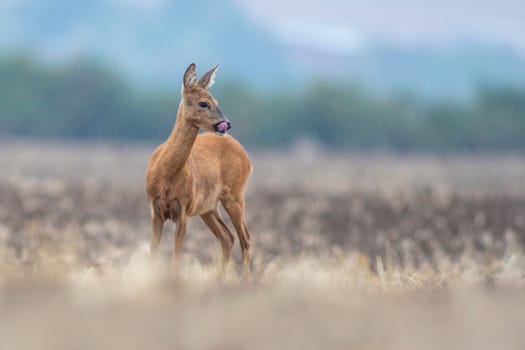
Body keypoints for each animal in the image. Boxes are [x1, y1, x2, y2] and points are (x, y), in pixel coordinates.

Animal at [145, 62, 252, 276]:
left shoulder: (184, 209)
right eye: (203, 103)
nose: (226, 124)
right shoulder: (155, 208)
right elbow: (153, 253)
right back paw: (220, 278)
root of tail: (246, 157)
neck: (166, 177)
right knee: (228, 237)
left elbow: (176, 257)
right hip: (209, 207)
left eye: (216, 100)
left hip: (235, 195)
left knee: (245, 239)